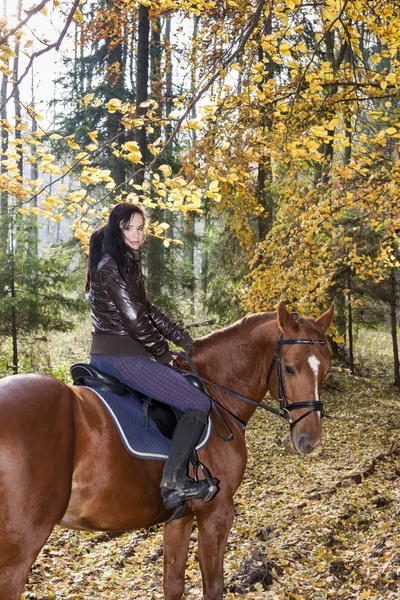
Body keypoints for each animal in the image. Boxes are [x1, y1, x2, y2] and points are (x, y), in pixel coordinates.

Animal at [0, 304, 332, 600]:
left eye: (326, 368)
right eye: (289, 368)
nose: (310, 438)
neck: (216, 393)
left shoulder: (180, 518)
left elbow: (173, 585)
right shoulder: (216, 512)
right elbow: (213, 588)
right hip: (17, 552)